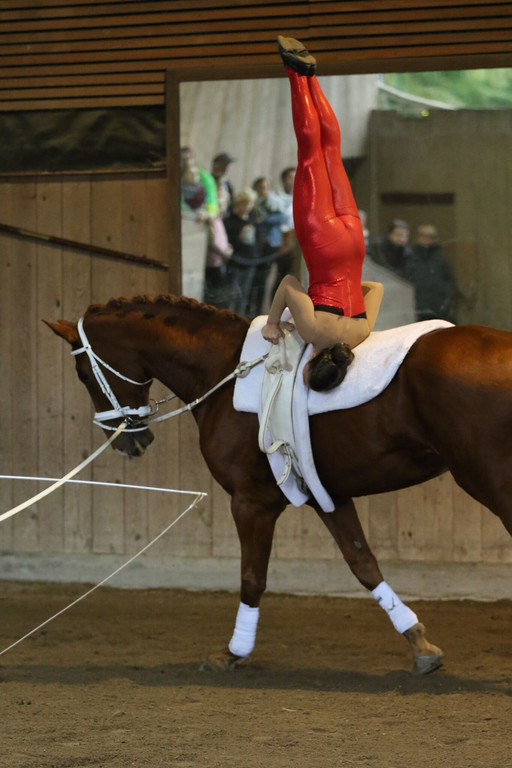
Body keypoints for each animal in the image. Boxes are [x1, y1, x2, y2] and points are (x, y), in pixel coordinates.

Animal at [46, 294, 512, 675]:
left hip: (490, 480)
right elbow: (363, 564)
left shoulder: (250, 501)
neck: (224, 371)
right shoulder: (328, 495)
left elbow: (252, 576)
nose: (129, 441)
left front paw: (234, 652)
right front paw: (420, 644)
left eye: (83, 373)